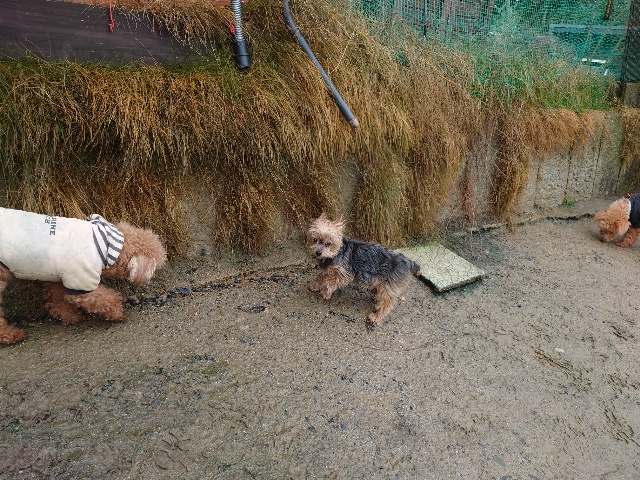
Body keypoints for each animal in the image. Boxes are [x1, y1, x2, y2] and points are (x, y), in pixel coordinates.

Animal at [0, 208, 167, 344]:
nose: (149, 280)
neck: (107, 248)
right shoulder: (81, 282)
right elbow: (106, 299)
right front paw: (118, 313)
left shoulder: (57, 277)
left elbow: (57, 300)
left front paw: (70, 317)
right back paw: (11, 335)